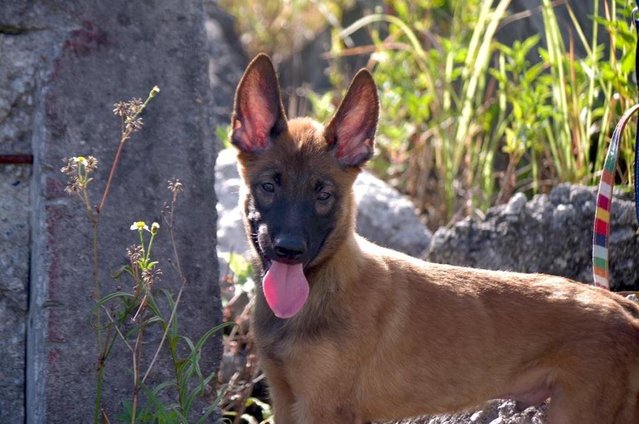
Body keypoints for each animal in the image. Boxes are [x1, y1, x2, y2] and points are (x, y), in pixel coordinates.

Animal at [229, 53, 639, 424]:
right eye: (268, 187)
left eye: (324, 195)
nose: (289, 250)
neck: (322, 288)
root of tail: (623, 306)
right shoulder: (285, 399)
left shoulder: (321, 408)